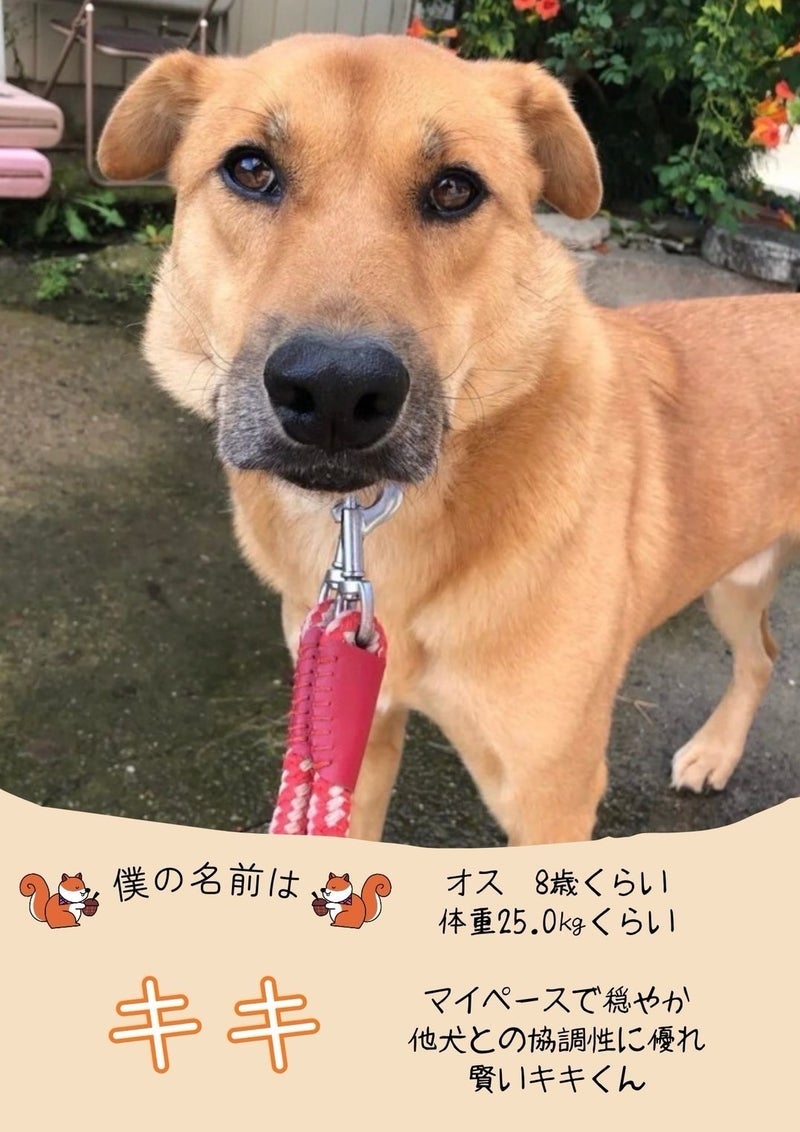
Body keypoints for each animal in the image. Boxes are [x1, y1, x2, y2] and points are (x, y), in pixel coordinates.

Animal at [96, 33, 800, 846]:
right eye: (250, 168)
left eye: (456, 189)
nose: (335, 391)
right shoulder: (358, 734)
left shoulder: (552, 796)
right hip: (737, 580)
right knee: (762, 656)